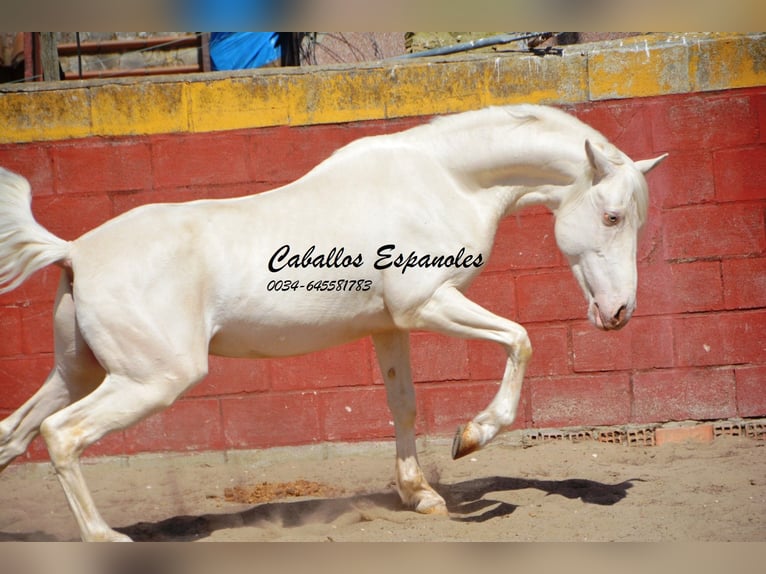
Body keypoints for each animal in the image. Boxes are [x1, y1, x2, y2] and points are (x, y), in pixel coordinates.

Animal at [0, 104, 664, 544]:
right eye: (611, 216)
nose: (619, 313)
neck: (442, 181)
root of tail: (75, 252)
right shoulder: (429, 304)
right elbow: (521, 340)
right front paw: (471, 438)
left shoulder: (390, 326)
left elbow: (404, 404)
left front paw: (421, 496)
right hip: (152, 380)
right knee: (61, 435)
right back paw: (106, 539)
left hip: (80, 372)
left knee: (16, 434)